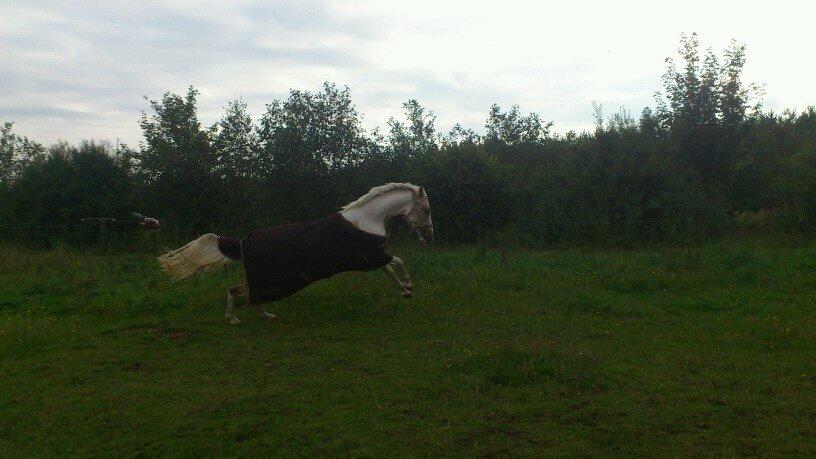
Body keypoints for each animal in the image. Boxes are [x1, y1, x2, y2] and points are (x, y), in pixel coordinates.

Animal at [155, 181, 434, 326]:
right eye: (428, 210)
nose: (429, 237)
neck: (366, 219)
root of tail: (243, 241)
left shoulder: (370, 258)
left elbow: (390, 270)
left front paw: (405, 292)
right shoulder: (373, 256)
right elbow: (398, 261)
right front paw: (409, 286)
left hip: (262, 281)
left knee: (241, 291)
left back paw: (261, 315)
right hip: (267, 280)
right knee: (239, 291)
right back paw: (236, 318)